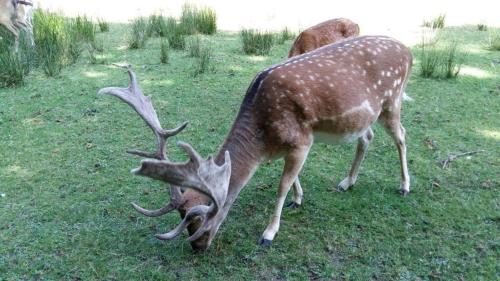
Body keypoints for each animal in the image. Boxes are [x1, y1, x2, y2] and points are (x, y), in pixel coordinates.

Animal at [98, 35, 414, 249]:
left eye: (201, 219)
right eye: (183, 215)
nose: (197, 246)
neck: (262, 140)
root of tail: (409, 51)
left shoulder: (302, 141)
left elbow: (282, 184)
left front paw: (269, 233)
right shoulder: (284, 146)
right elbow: (291, 178)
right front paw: (298, 199)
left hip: (392, 99)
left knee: (401, 136)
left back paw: (404, 186)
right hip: (365, 116)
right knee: (368, 137)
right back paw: (347, 182)